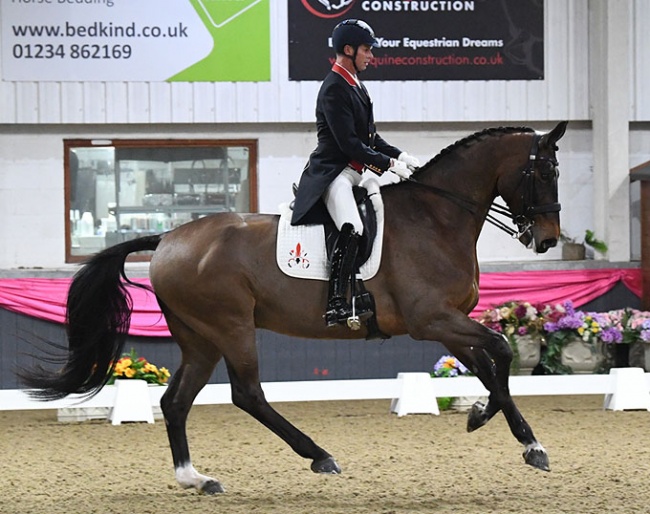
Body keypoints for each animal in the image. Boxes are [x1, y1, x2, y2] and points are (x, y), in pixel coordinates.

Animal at [19, 120, 568, 492]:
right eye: (542, 171)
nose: (545, 240)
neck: (436, 217)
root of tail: (169, 237)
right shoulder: (432, 319)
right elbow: (501, 351)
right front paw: (518, 436)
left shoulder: (448, 323)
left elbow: (491, 368)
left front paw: (495, 424)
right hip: (231, 327)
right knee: (247, 394)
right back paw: (318, 456)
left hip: (199, 338)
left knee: (176, 401)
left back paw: (195, 478)